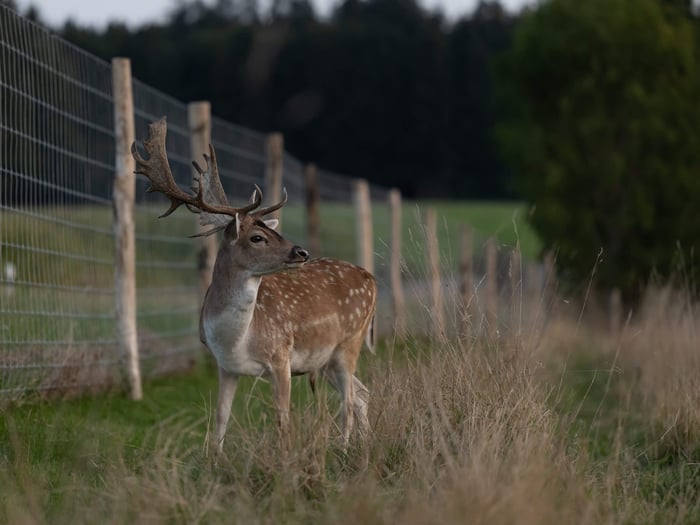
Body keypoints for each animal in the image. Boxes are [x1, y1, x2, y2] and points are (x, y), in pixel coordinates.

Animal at [131, 118, 377, 453]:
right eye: (257, 237)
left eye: (273, 232)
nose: (301, 252)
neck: (237, 339)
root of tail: (371, 278)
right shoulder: (225, 367)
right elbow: (221, 418)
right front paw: (215, 459)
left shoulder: (281, 355)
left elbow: (282, 419)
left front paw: (286, 457)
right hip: (325, 358)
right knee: (361, 395)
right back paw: (361, 445)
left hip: (349, 341)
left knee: (350, 400)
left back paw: (343, 447)